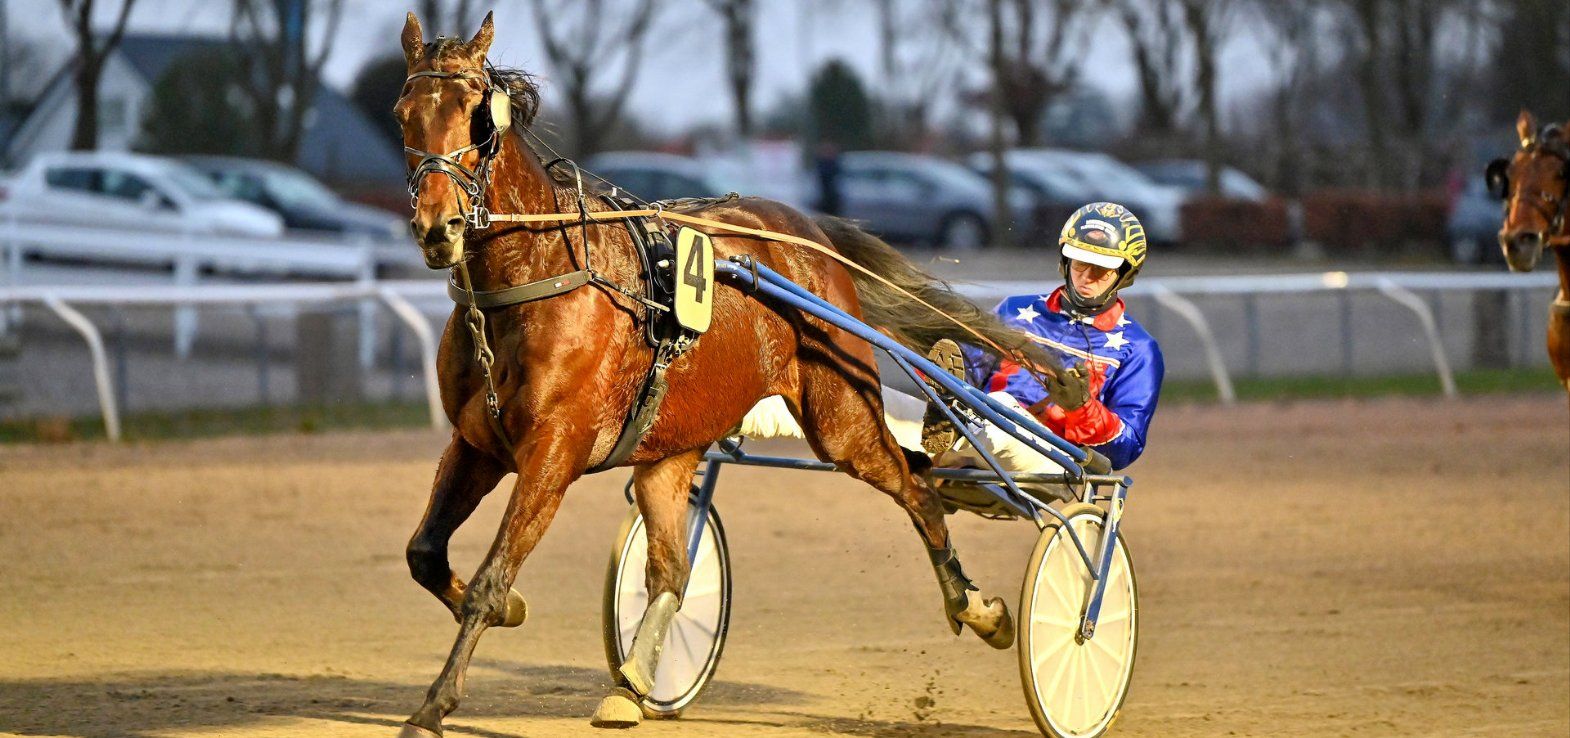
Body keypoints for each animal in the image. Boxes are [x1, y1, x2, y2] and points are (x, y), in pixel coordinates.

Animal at [389, 11, 1067, 738]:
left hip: (842, 417)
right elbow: (424, 552)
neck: (533, 281)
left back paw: (979, 608)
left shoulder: (552, 452)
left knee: (918, 488)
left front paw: (435, 703)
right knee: (672, 570)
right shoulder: (477, 443)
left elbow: (492, 576)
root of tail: (808, 231)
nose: (438, 227)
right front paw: (504, 616)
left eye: (477, 119)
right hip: (672, 447)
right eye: (404, 114)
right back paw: (633, 684)